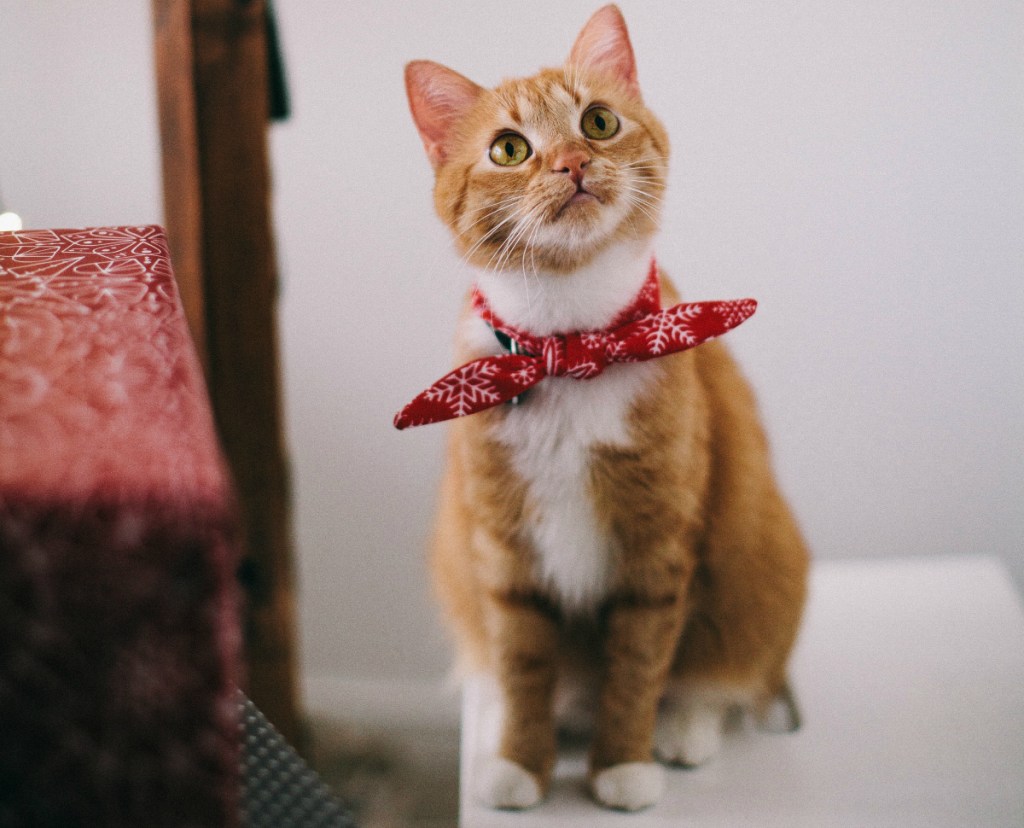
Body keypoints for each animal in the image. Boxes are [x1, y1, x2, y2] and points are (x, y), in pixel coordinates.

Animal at [399, 1, 806, 814]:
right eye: (510, 148)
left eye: (597, 121)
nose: (571, 163)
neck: (574, 348)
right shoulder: (505, 554)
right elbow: (524, 666)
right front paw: (520, 763)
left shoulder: (656, 549)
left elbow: (638, 670)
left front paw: (623, 763)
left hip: (761, 572)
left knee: (722, 678)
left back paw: (685, 730)